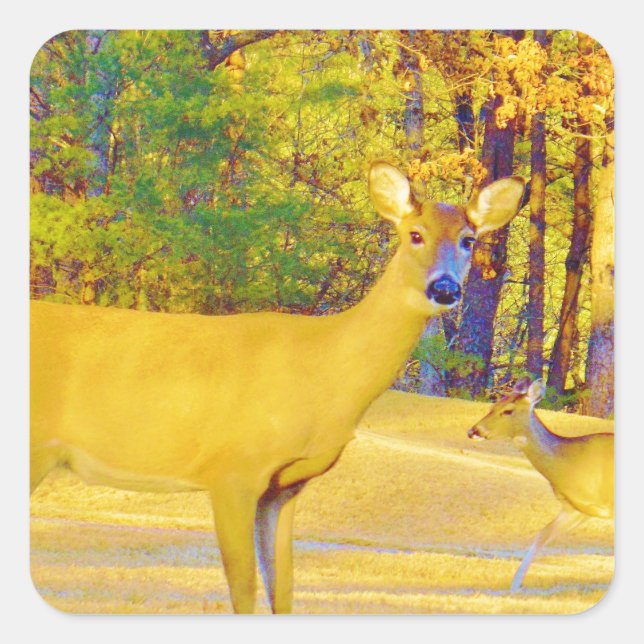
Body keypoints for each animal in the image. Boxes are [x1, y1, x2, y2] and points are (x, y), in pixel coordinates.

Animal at [30, 161, 525, 613]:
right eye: (415, 235)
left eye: (468, 240)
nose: (444, 288)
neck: (323, 372)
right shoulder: (232, 468)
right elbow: (244, 593)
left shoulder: (285, 486)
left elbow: (283, 591)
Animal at [468, 376, 614, 592]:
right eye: (493, 406)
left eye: (508, 410)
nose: (473, 431)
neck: (572, 464)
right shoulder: (576, 509)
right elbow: (541, 535)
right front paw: (514, 586)